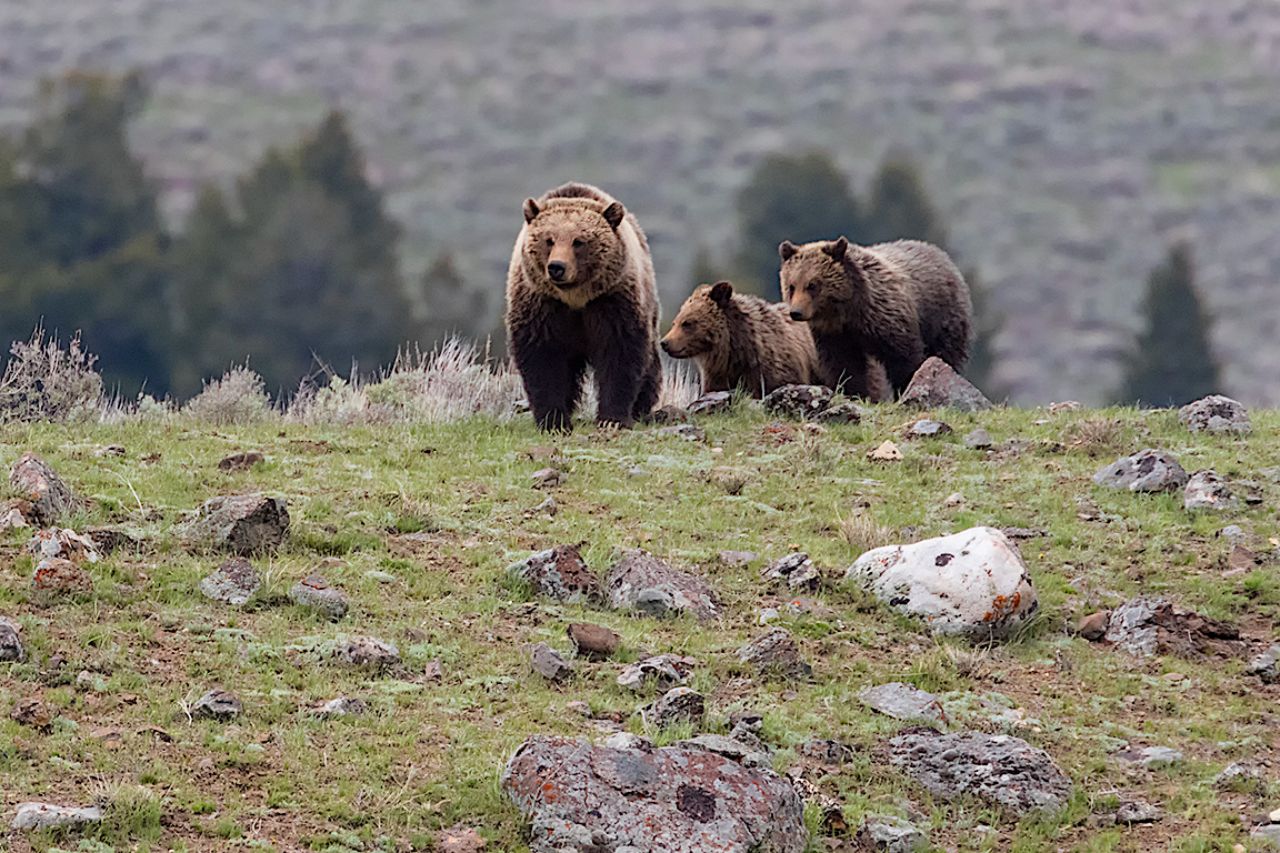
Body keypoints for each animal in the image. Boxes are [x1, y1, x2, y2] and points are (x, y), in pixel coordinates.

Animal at [505, 182, 662, 431]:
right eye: (549, 240)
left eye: (578, 241)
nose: (557, 267)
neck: (575, 298)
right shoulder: (542, 306)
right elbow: (543, 360)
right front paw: (554, 420)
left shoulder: (611, 303)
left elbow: (620, 355)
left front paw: (613, 418)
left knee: (649, 364)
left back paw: (641, 406)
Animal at [779, 237, 971, 397]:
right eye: (792, 286)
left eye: (812, 285)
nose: (796, 312)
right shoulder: (835, 336)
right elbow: (844, 366)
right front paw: (855, 392)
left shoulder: (886, 317)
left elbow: (905, 357)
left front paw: (907, 386)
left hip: (943, 317)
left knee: (945, 352)